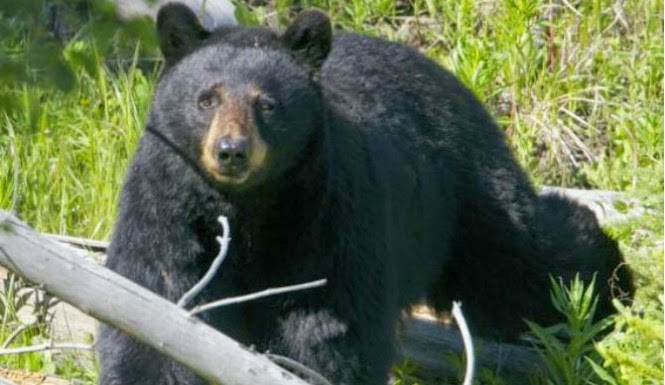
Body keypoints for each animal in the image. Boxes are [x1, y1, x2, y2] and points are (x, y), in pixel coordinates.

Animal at [98, 3, 632, 384]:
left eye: (266, 103)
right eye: (206, 99)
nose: (232, 151)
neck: (250, 207)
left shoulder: (328, 213)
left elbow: (328, 325)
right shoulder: (166, 206)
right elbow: (154, 298)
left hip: (463, 198)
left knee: (524, 257)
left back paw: (606, 289)